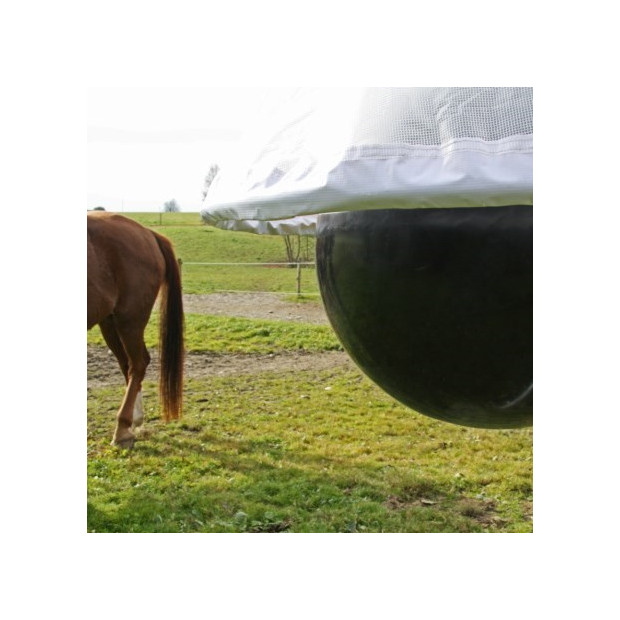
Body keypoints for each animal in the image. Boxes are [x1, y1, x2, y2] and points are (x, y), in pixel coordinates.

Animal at [88, 213, 184, 446]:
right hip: (109, 322)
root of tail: (148, 233)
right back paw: (134, 419)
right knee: (128, 365)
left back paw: (122, 427)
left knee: (138, 364)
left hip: (129, 319)